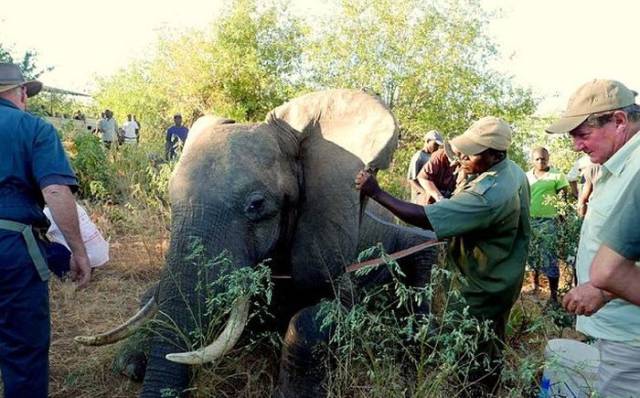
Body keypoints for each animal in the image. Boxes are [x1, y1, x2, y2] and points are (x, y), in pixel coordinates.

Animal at [74, 90, 436, 398]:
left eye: (256, 205)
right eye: (169, 198)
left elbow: (318, 317)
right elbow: (154, 295)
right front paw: (130, 362)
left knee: (424, 250)